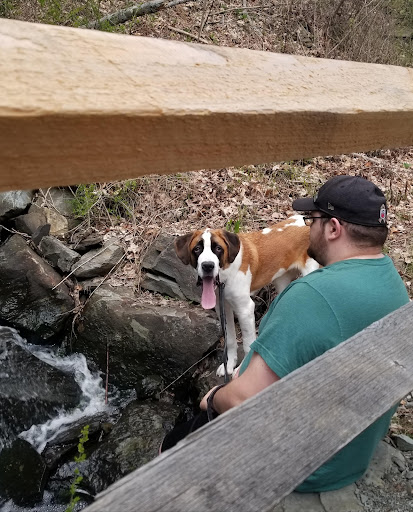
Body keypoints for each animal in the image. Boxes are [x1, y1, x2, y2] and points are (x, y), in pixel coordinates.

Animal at [174, 215, 319, 376]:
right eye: (197, 249)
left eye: (218, 249)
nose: (208, 266)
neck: (226, 274)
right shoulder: (223, 308)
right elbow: (230, 339)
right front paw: (230, 364)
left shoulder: (245, 310)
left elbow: (247, 344)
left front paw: (242, 368)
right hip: (281, 281)